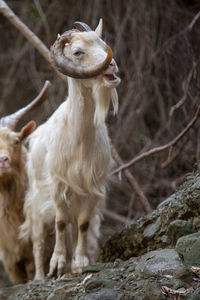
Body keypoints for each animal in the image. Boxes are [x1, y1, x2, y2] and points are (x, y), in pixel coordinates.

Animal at [20, 19, 120, 280]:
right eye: (77, 52)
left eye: (103, 44)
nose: (112, 65)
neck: (80, 140)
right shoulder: (58, 185)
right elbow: (60, 222)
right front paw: (57, 265)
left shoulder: (92, 187)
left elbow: (82, 225)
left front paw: (79, 264)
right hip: (36, 205)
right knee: (39, 240)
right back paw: (40, 276)